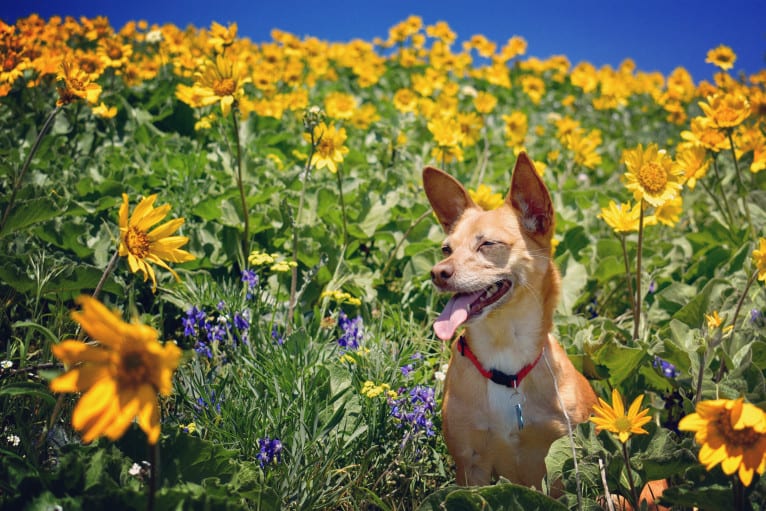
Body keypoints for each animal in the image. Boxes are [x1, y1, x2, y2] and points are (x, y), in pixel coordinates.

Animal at [426, 154, 600, 490]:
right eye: (446, 249)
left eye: (487, 244)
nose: (438, 272)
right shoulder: (470, 468)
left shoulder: (560, 464)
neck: (504, 352)